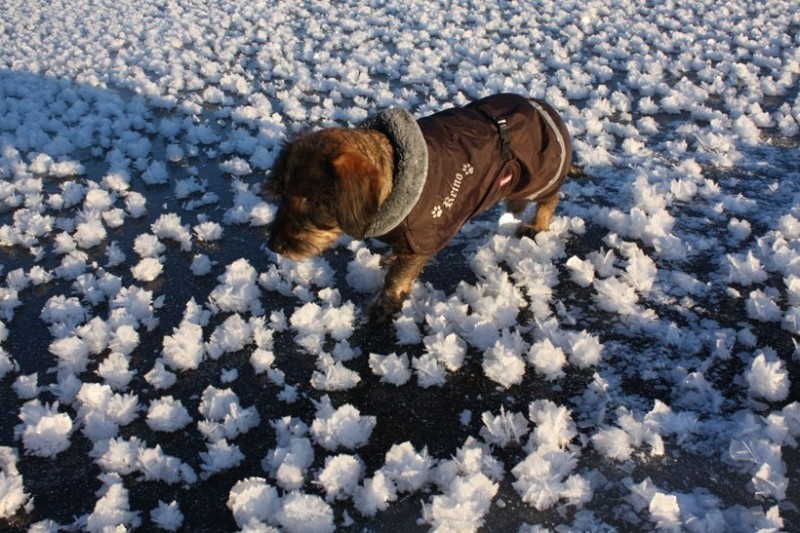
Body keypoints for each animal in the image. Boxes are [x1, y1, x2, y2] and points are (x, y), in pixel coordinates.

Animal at [268, 93, 580, 322]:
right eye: (283, 194)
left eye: (313, 200)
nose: (274, 246)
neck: (395, 176)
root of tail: (546, 108)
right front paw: (391, 259)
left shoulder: (423, 240)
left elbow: (396, 279)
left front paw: (384, 306)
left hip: (537, 178)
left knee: (551, 197)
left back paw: (537, 224)